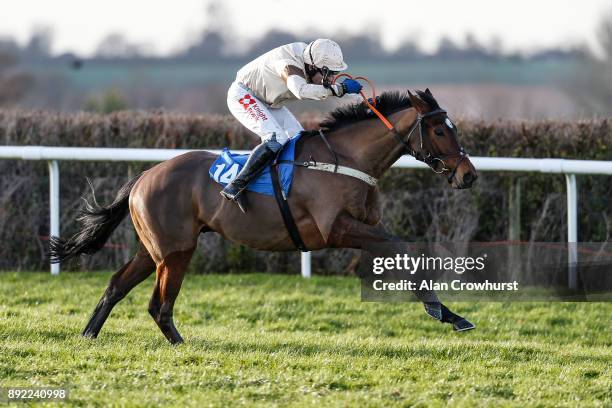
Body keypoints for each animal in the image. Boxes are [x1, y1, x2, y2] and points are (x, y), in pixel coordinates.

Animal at [49, 89, 478, 344]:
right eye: (440, 130)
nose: (468, 175)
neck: (345, 158)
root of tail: (144, 176)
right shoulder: (336, 229)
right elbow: (403, 247)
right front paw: (440, 310)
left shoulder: (366, 225)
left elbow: (406, 252)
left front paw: (450, 313)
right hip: (175, 251)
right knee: (159, 303)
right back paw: (181, 345)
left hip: (154, 248)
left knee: (117, 285)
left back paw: (88, 335)